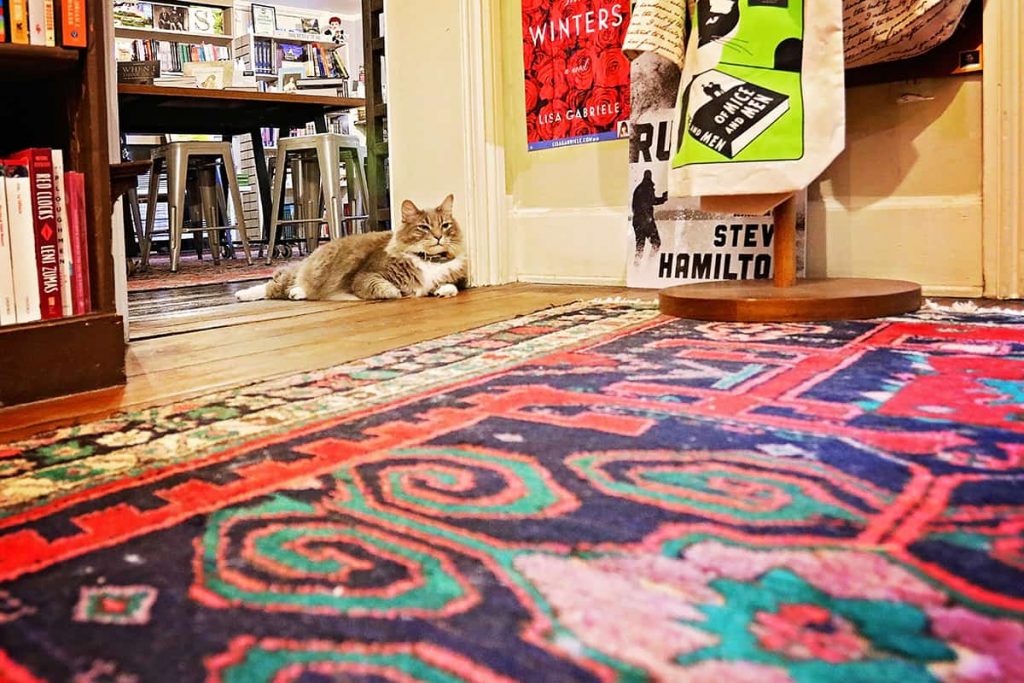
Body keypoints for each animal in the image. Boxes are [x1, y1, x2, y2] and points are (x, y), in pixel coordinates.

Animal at [235, 197, 464, 305]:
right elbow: (389, 290)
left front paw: (443, 290)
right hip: (316, 270)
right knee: (272, 285)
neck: (429, 260)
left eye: (445, 225)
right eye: (423, 227)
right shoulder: (366, 276)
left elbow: (451, 286)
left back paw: (296, 293)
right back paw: (242, 294)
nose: (438, 236)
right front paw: (401, 293)